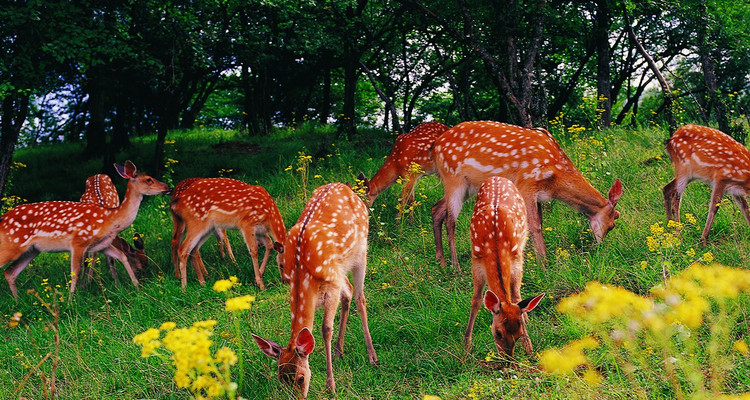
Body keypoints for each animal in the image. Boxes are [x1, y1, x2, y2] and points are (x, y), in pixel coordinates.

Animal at [0, 161, 170, 298]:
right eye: (149, 179)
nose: (168, 187)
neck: (110, 219)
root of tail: (2, 219)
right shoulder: (78, 242)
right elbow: (75, 272)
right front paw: (71, 301)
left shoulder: (101, 245)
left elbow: (121, 256)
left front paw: (136, 288)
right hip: (11, 246)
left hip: (31, 250)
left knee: (10, 273)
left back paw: (18, 302)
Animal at [254, 183, 382, 398]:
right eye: (281, 380)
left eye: (300, 378)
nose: (299, 398)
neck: (302, 272)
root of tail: (345, 186)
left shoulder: (331, 285)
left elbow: (325, 329)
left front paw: (331, 386)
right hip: (340, 269)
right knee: (349, 292)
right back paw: (339, 351)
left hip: (361, 251)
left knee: (359, 297)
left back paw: (372, 356)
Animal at [428, 119, 624, 268]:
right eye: (613, 223)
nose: (600, 247)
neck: (555, 176)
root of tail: (434, 146)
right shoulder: (526, 183)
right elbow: (534, 225)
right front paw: (543, 265)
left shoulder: (539, 195)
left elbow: (539, 224)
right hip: (453, 178)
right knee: (450, 221)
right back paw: (456, 267)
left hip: (467, 186)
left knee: (436, 209)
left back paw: (441, 262)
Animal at [464, 177, 548, 358]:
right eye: (497, 332)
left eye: (519, 334)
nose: (508, 359)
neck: (495, 241)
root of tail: (497, 177)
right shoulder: (476, 260)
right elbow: (476, 300)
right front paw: (465, 348)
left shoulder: (516, 259)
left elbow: (515, 297)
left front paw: (529, 346)